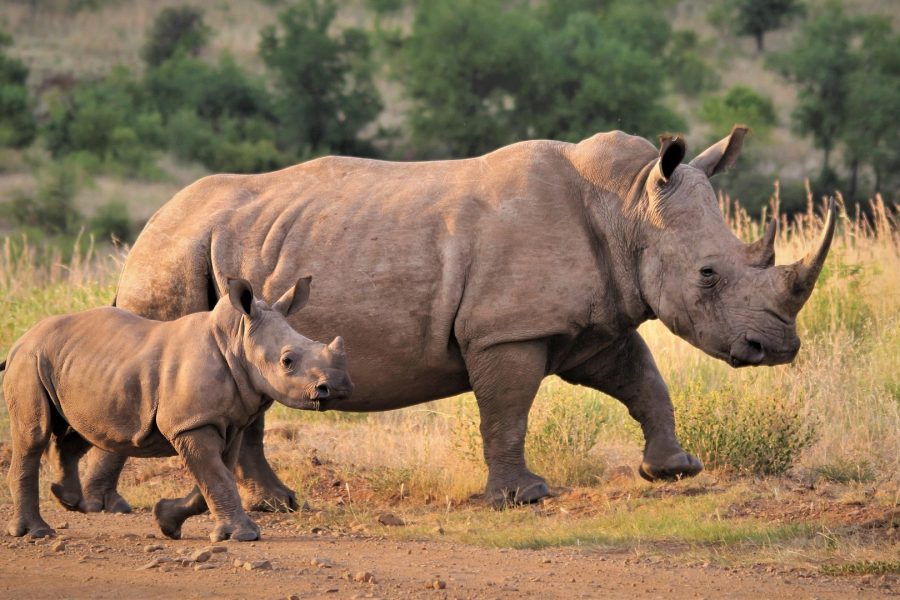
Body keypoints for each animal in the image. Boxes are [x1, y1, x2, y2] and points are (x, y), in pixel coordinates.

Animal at [2, 277, 352, 540]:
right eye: (287, 361)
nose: (339, 386)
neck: (236, 340)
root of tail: (22, 339)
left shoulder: (228, 422)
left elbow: (214, 477)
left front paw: (166, 521)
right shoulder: (191, 423)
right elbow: (217, 477)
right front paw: (245, 535)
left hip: (75, 366)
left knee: (82, 429)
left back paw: (68, 499)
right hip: (29, 360)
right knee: (34, 435)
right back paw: (37, 532)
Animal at [77, 125, 834, 510]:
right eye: (708, 274)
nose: (777, 347)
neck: (626, 206)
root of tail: (151, 222)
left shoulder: (593, 323)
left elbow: (644, 381)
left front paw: (674, 470)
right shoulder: (508, 329)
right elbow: (507, 411)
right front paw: (523, 498)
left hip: (223, 253)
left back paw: (279, 505)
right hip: (174, 256)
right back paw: (105, 508)